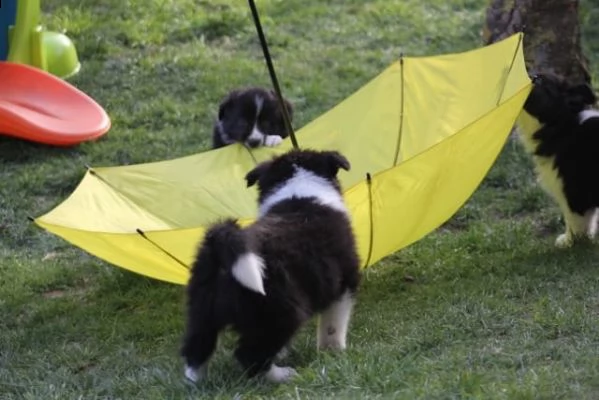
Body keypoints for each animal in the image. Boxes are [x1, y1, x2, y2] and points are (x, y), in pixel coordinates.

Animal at [182, 148, 360, 382]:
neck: (299, 189)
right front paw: (333, 351)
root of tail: (221, 249)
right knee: (249, 354)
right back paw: (283, 375)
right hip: (279, 309)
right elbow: (333, 323)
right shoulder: (343, 280)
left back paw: (197, 380)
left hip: (201, 309)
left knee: (196, 347)